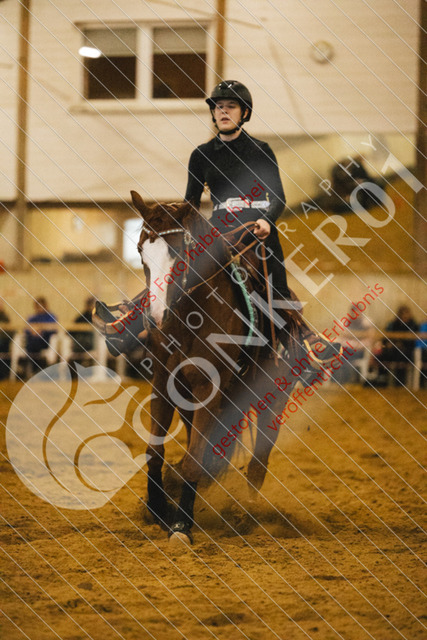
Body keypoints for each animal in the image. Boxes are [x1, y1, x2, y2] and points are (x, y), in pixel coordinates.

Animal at [130, 190, 296, 546]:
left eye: (179, 253)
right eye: (140, 253)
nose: (156, 318)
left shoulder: (210, 387)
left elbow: (194, 459)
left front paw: (181, 524)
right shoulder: (163, 382)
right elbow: (154, 451)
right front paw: (158, 508)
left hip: (274, 393)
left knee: (260, 457)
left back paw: (250, 509)